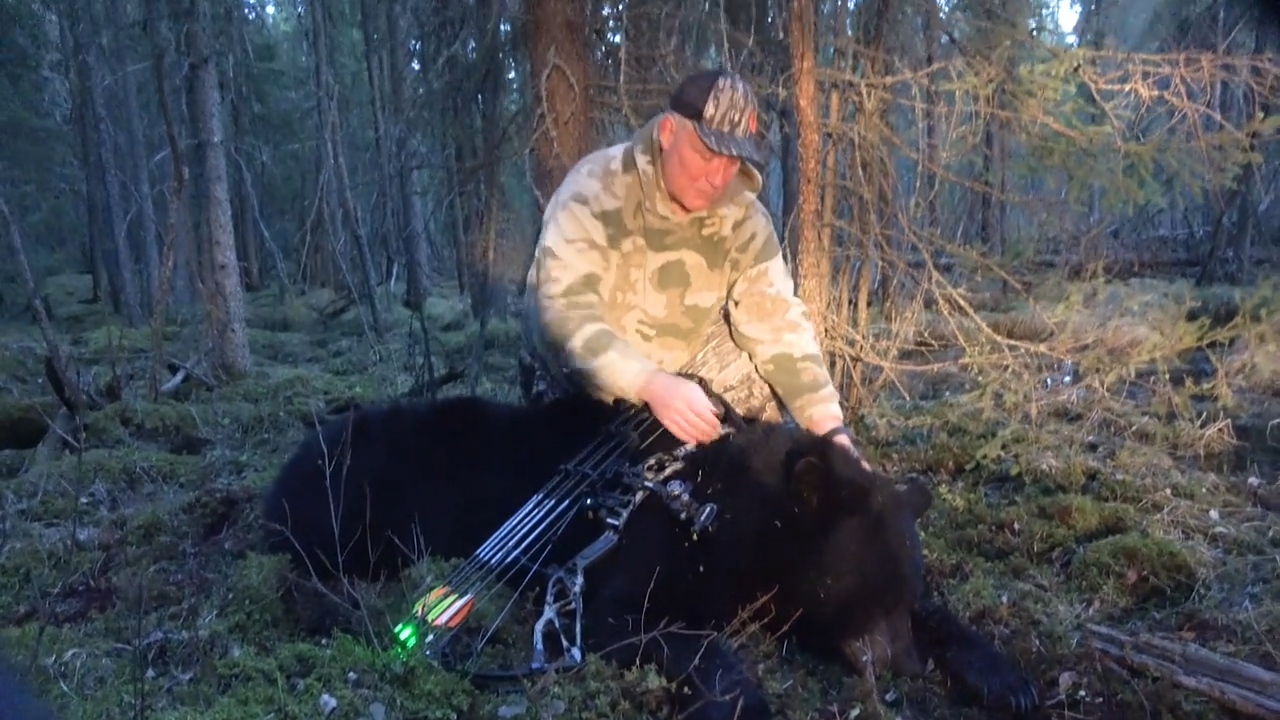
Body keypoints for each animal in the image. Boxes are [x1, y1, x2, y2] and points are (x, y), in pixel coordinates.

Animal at [260, 388, 1041, 720]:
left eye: (908, 588)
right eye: (873, 587)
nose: (908, 668)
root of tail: (285, 465)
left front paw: (1006, 677)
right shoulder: (625, 573)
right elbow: (657, 629)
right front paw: (735, 698)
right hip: (354, 511)